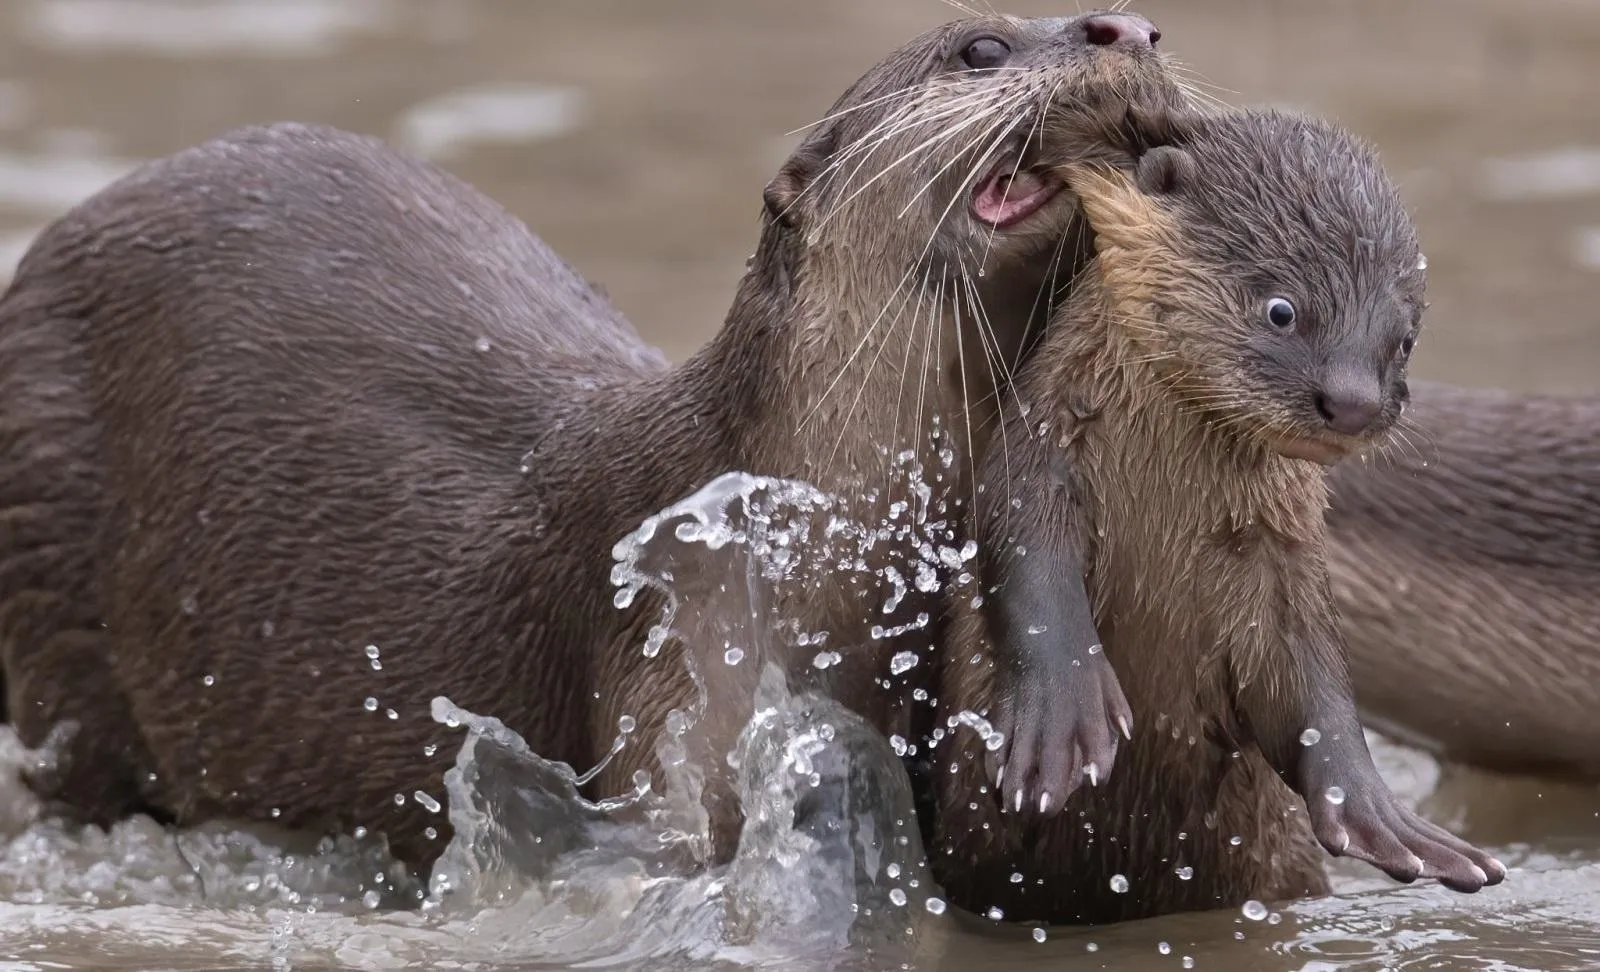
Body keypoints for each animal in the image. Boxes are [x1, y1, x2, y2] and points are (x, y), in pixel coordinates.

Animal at [934, 107, 1504, 927]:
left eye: (1404, 339)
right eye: (1282, 309)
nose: (1355, 402)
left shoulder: (1282, 554)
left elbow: (1311, 682)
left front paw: (1379, 813)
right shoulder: (1039, 457)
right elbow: (1027, 567)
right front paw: (1061, 718)